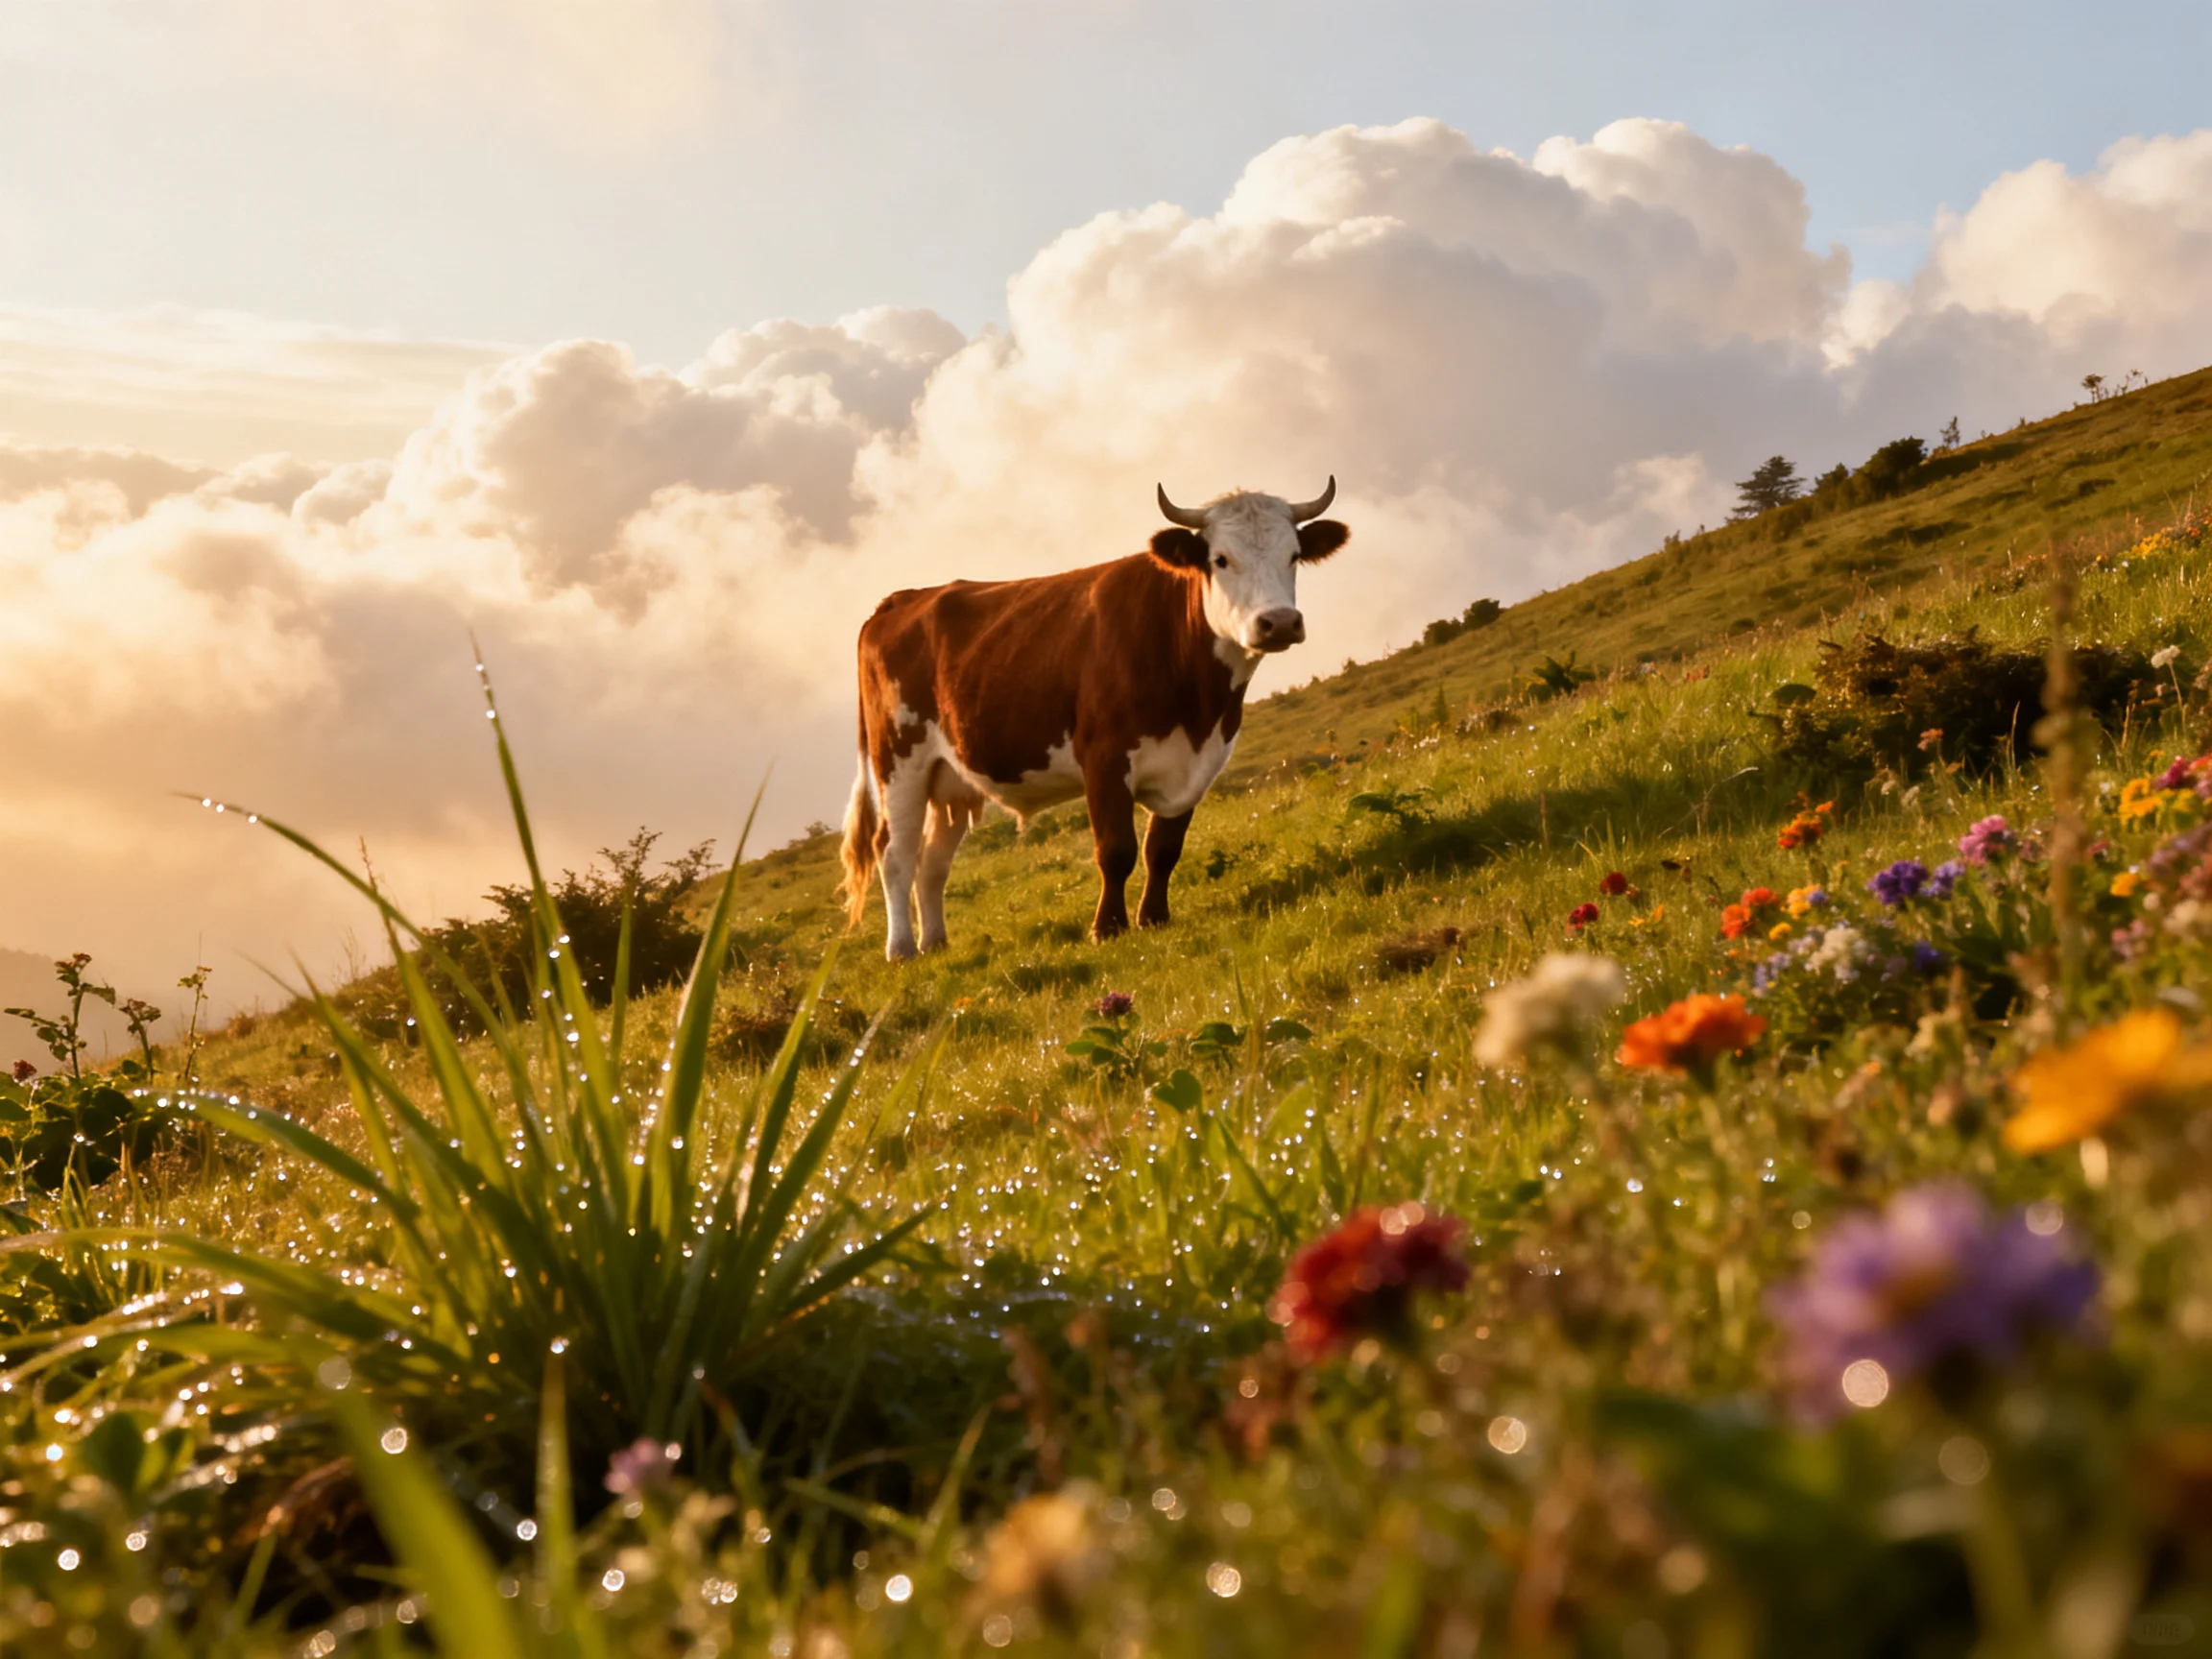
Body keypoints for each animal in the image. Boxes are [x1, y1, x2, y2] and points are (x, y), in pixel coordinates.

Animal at [837, 479, 1350, 960]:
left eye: (1294, 555)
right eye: (1221, 559)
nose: (1279, 622)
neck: (1198, 703)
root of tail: (902, 599)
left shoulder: (1196, 764)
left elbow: (1163, 849)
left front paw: (1154, 918)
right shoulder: (1103, 757)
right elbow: (1116, 849)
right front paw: (1107, 928)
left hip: (951, 779)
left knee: (933, 861)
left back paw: (936, 942)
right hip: (899, 761)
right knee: (894, 852)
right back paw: (902, 949)